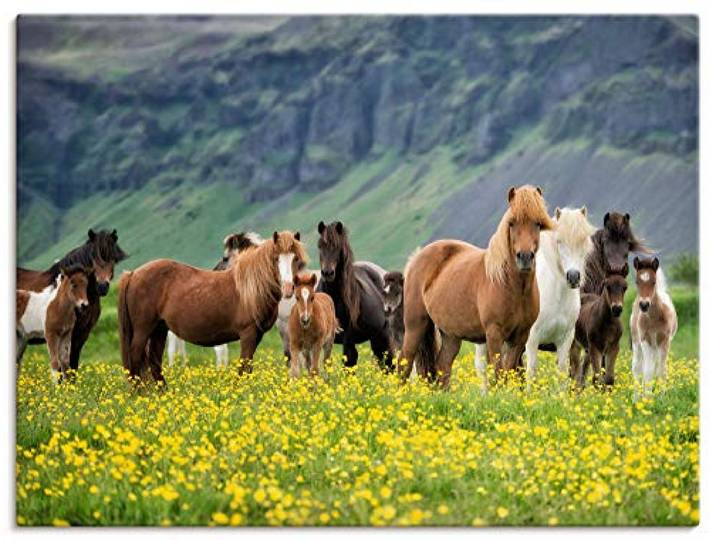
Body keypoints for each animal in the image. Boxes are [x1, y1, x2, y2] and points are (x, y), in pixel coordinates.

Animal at [118, 231, 307, 385]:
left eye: (295, 258)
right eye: (276, 258)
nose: (288, 288)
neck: (251, 286)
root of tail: (133, 274)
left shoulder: (257, 336)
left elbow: (248, 367)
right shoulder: (248, 334)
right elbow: (244, 366)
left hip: (159, 329)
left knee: (154, 362)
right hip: (143, 330)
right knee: (136, 360)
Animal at [316, 221, 393, 369]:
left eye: (337, 247)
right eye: (320, 245)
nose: (327, 273)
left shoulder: (348, 339)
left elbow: (348, 362)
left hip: (381, 334)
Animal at [402, 185, 554, 389]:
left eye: (537, 224)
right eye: (512, 223)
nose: (525, 257)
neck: (512, 287)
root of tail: (416, 258)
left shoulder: (520, 336)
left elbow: (509, 369)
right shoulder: (494, 334)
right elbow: (499, 372)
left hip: (451, 335)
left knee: (443, 366)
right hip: (415, 325)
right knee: (404, 362)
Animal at [474, 206, 596, 383]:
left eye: (584, 241)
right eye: (559, 242)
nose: (573, 277)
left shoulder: (565, 340)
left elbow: (562, 373)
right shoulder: (532, 339)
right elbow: (531, 372)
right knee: (482, 369)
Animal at [630, 256, 678, 397]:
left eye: (653, 282)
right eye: (637, 282)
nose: (644, 305)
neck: (654, 319)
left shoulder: (665, 341)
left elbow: (661, 370)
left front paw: (661, 397)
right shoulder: (645, 340)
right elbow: (647, 371)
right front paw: (647, 398)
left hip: (656, 346)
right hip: (637, 342)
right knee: (637, 368)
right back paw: (636, 397)